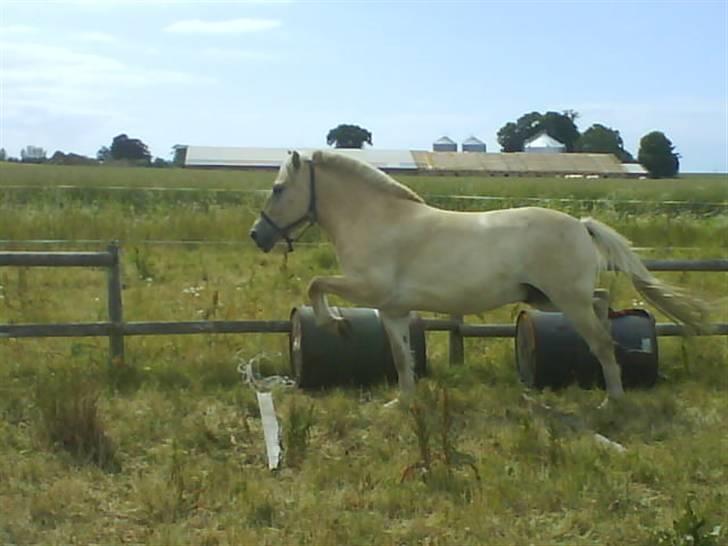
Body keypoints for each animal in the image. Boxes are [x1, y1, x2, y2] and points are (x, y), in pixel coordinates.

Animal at [252, 149, 712, 400]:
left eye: (278, 189)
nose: (257, 235)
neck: (377, 220)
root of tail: (580, 225)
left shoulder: (369, 288)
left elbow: (315, 284)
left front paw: (336, 324)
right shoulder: (392, 310)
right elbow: (402, 358)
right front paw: (403, 403)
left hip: (565, 298)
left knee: (601, 342)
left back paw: (612, 401)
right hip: (549, 297)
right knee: (603, 306)